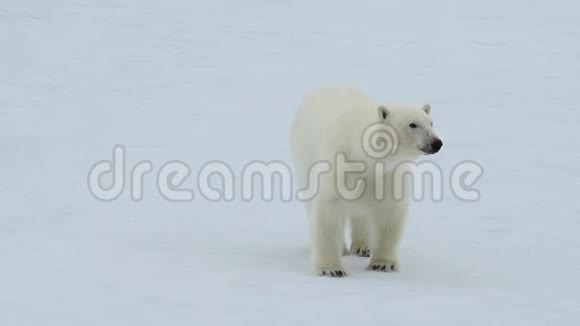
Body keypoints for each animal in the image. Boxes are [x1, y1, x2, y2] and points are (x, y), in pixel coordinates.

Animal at [292, 87, 442, 278]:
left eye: (431, 123)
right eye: (412, 124)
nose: (437, 143)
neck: (363, 157)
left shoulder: (388, 175)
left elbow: (389, 212)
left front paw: (383, 264)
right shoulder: (338, 163)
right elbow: (329, 211)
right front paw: (331, 269)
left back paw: (363, 247)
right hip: (303, 158)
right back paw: (344, 248)